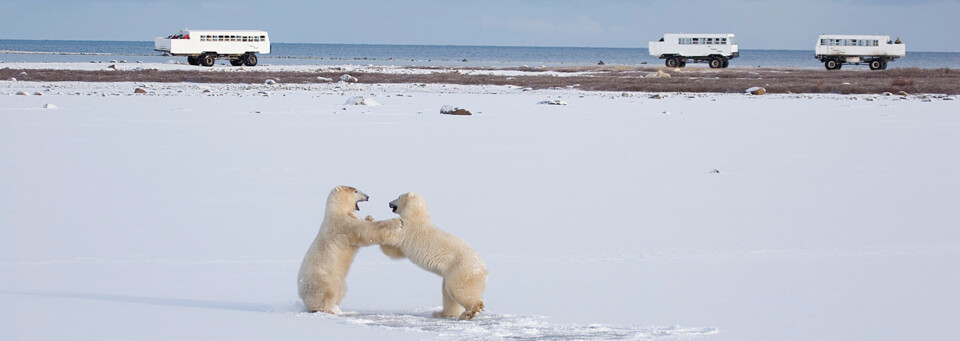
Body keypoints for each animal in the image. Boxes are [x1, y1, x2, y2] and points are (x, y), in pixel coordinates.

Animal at [300, 186, 404, 314]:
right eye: (356, 191)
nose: (368, 196)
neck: (337, 210)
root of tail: (300, 292)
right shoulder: (343, 225)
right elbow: (366, 231)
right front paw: (397, 221)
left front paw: (369, 217)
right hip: (322, 279)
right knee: (325, 294)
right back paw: (327, 310)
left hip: (338, 282)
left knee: (340, 291)